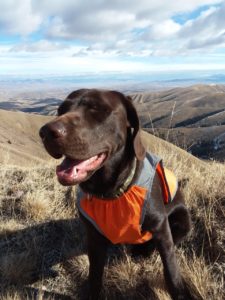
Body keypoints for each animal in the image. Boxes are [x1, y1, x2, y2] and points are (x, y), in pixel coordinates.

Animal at [39, 89, 192, 300]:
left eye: (98, 109)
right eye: (61, 110)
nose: (46, 132)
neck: (110, 193)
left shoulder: (162, 230)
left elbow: (171, 272)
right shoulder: (94, 238)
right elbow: (95, 277)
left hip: (183, 221)